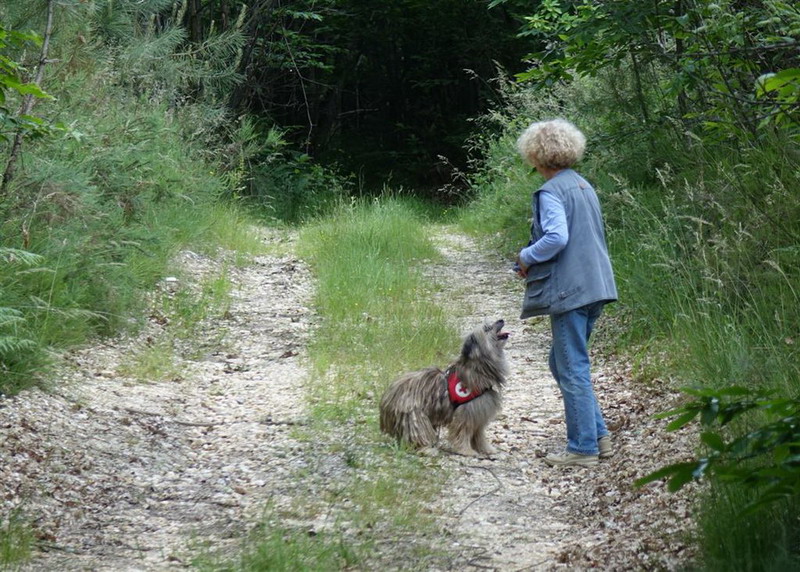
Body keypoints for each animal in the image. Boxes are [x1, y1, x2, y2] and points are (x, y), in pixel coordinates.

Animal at [379, 319, 509, 457]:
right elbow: (462, 433)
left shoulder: (479, 415)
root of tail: (388, 398)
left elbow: (479, 435)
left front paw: (486, 449)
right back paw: (427, 449)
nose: (501, 320)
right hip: (415, 417)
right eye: (487, 328)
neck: (478, 368)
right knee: (419, 434)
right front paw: (466, 451)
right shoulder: (466, 414)